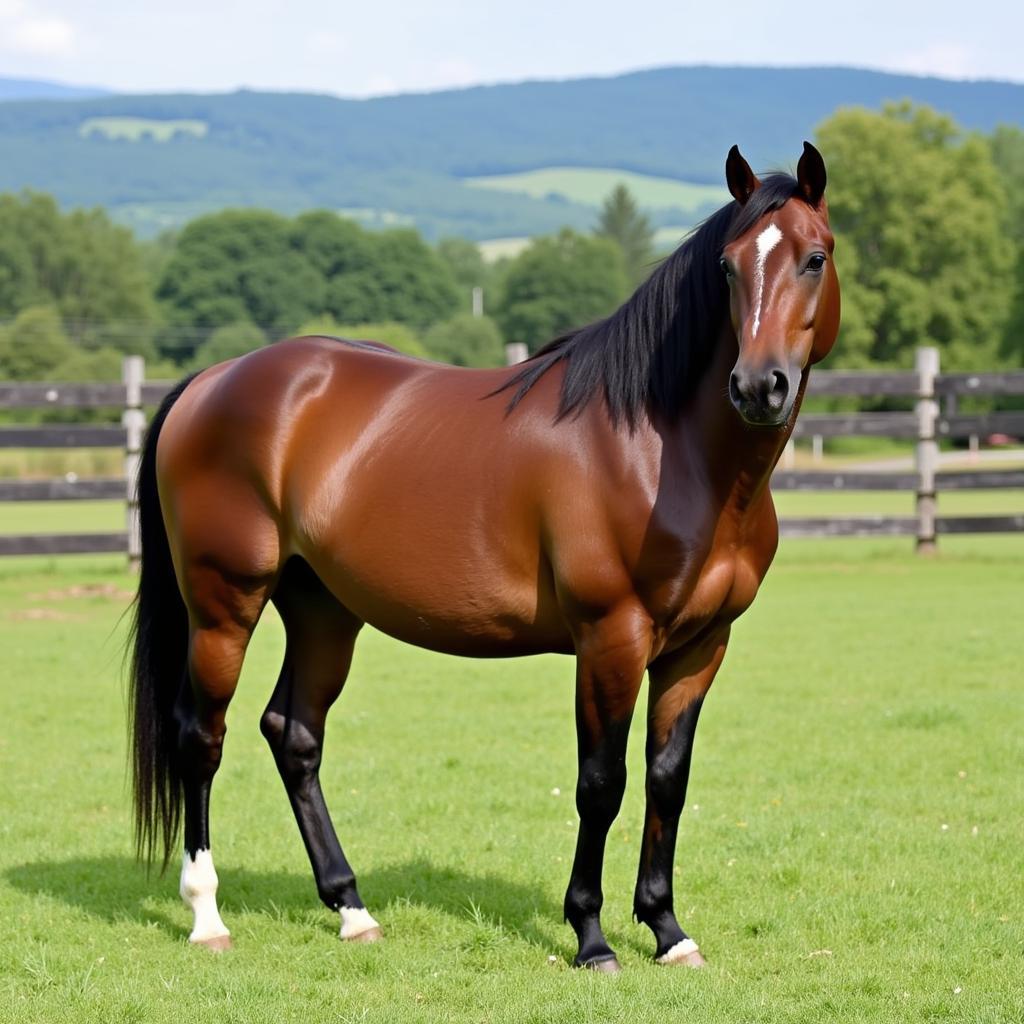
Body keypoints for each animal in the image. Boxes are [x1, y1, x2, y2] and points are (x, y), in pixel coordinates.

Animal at [128, 142, 839, 966]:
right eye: (727, 267)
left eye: (815, 257)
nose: (758, 386)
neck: (667, 452)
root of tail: (212, 380)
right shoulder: (611, 639)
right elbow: (602, 783)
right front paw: (592, 937)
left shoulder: (701, 646)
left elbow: (668, 780)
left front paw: (667, 930)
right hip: (224, 605)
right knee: (201, 738)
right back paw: (208, 916)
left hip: (322, 610)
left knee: (294, 735)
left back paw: (351, 909)